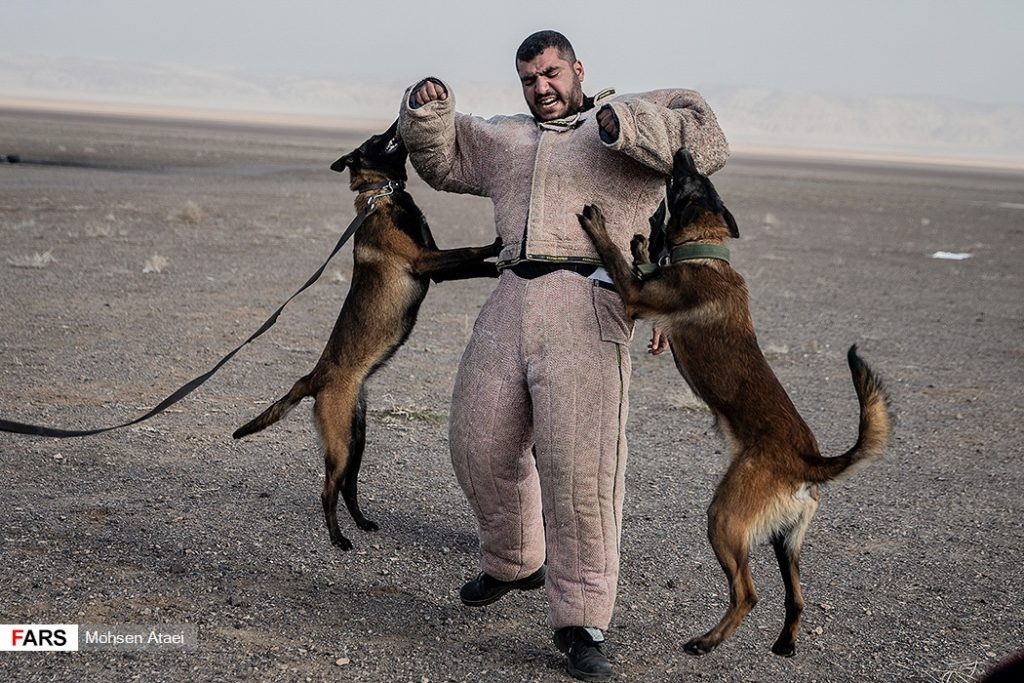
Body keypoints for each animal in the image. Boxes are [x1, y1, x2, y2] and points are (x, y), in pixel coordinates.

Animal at [233, 121, 503, 548]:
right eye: (377, 140)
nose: (396, 121)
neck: (383, 195)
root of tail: (312, 377)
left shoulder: (436, 268)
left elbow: (476, 264)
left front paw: (506, 262)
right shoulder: (423, 260)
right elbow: (471, 250)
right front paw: (497, 243)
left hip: (356, 437)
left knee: (349, 486)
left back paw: (360, 522)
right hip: (342, 442)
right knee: (329, 488)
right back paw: (338, 538)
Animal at [581, 149, 892, 655]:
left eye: (687, 179)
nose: (684, 152)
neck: (705, 251)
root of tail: (808, 461)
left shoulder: (636, 296)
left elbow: (617, 261)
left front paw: (600, 226)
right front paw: (643, 247)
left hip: (724, 519)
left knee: (747, 592)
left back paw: (706, 642)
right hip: (786, 541)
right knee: (795, 597)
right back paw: (784, 643)